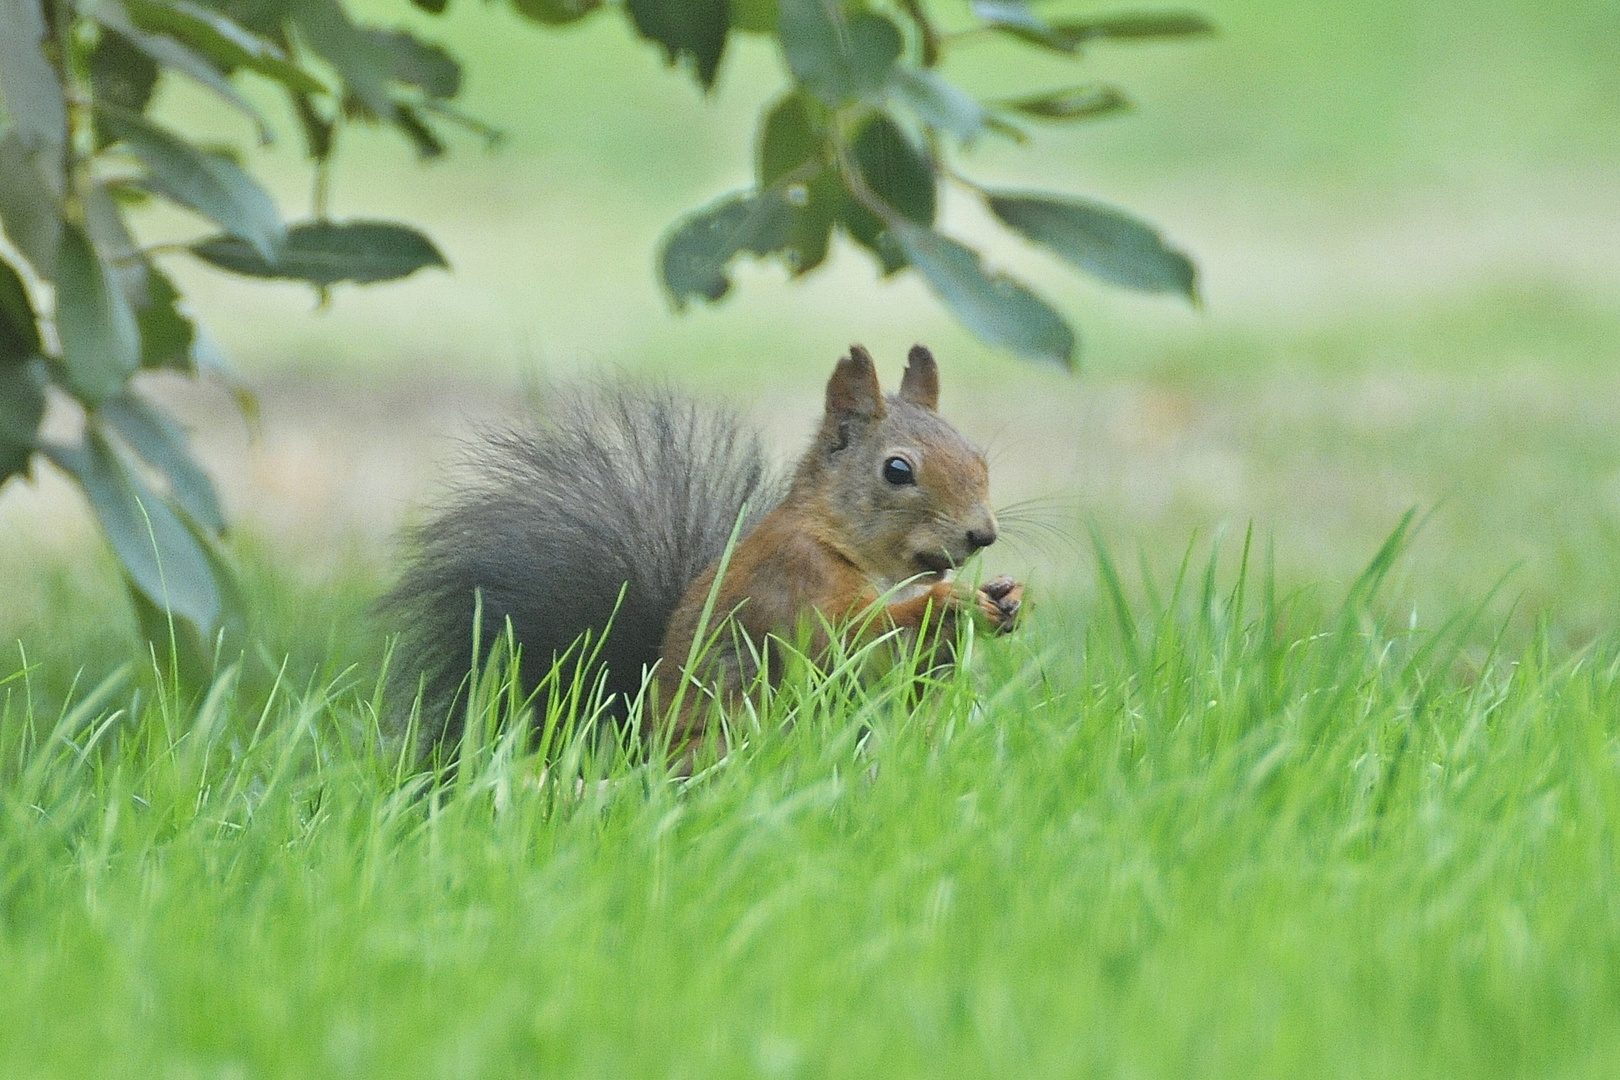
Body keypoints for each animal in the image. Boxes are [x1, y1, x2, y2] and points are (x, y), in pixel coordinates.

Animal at [379, 341, 1023, 757]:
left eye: (978, 456)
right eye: (897, 470)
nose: (983, 534)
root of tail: (640, 757)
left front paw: (1005, 598)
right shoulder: (793, 580)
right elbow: (846, 645)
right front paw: (949, 604)